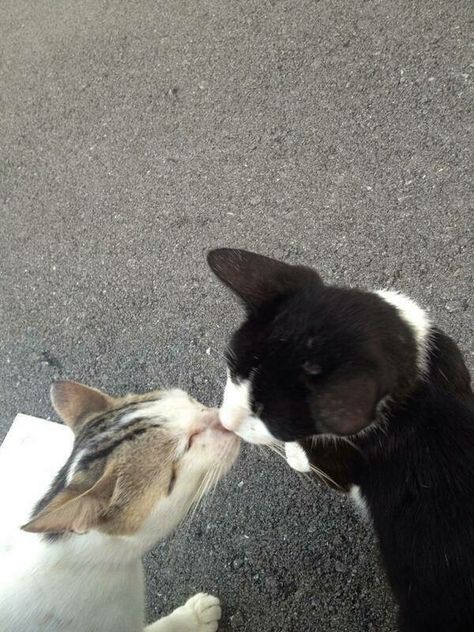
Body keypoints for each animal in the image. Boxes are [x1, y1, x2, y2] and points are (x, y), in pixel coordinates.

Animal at [207, 247, 474, 632]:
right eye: (232, 370)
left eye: (269, 417)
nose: (224, 421)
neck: (416, 386)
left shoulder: (344, 461)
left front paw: (295, 455)